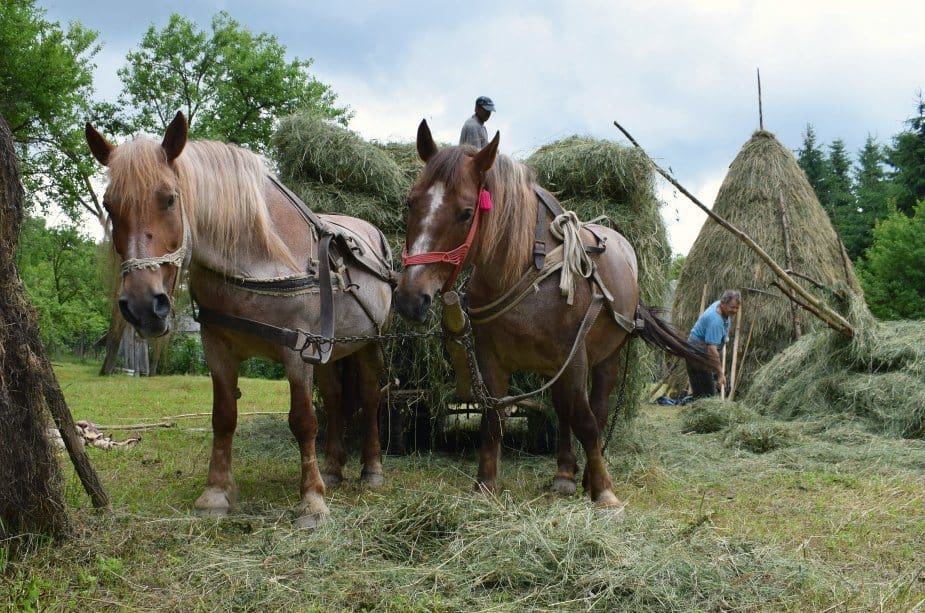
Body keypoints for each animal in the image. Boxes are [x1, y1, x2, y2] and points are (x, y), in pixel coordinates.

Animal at [85, 112, 394, 528]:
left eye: (169, 198)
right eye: (109, 204)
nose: (143, 305)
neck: (259, 259)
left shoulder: (297, 350)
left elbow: (303, 420)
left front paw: (311, 500)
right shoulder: (217, 347)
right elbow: (223, 417)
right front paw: (216, 493)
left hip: (369, 344)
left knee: (369, 396)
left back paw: (371, 470)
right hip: (330, 350)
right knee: (334, 397)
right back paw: (331, 468)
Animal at [395, 120, 715, 509]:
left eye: (466, 212)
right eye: (411, 201)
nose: (411, 298)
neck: (525, 274)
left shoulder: (574, 357)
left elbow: (587, 422)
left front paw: (604, 491)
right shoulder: (491, 360)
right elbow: (493, 419)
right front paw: (486, 486)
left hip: (605, 358)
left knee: (594, 410)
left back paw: (587, 474)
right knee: (563, 410)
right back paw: (564, 473)